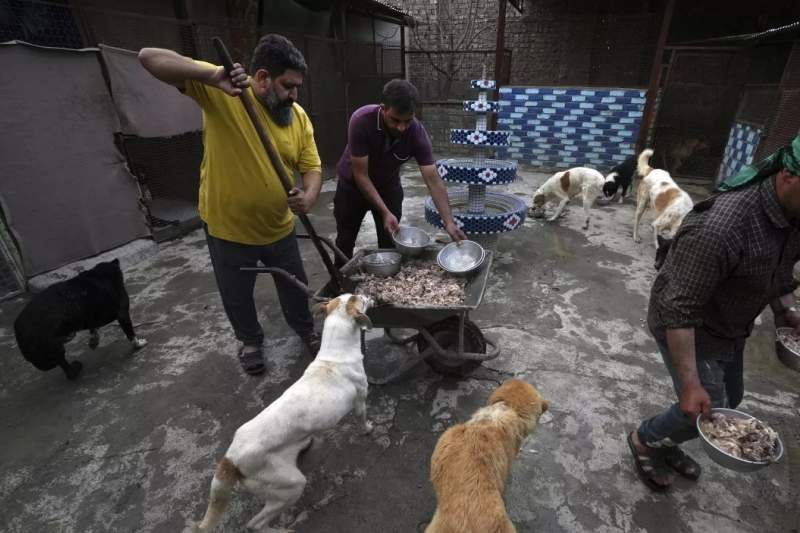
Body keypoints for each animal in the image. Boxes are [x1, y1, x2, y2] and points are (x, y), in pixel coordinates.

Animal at [13, 258, 146, 378]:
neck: (100, 274)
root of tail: (18, 331)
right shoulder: (123, 314)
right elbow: (131, 334)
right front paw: (138, 344)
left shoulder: (90, 316)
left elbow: (93, 328)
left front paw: (94, 340)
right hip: (54, 348)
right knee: (66, 369)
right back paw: (75, 368)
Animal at [191, 294, 376, 528]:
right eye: (359, 298)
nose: (369, 295)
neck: (335, 355)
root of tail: (231, 459)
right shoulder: (361, 400)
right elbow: (362, 419)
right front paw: (367, 429)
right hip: (292, 486)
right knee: (255, 524)